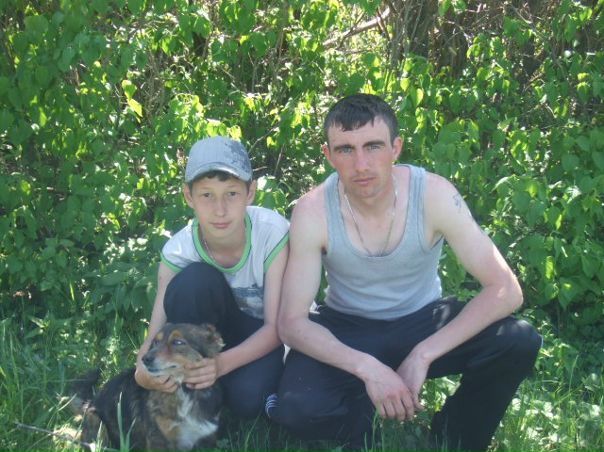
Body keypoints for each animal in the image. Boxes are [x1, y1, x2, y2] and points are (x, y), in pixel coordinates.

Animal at [71, 323, 224, 452]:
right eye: (156, 342)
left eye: (178, 342)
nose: (145, 359)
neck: (184, 391)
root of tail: (89, 403)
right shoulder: (157, 439)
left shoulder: (206, 438)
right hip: (96, 422)